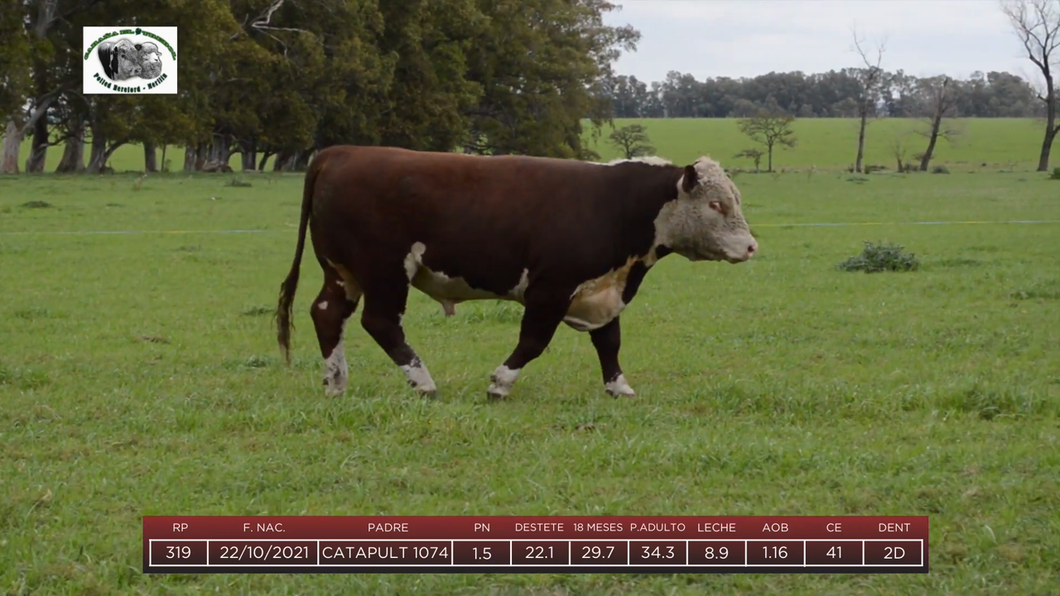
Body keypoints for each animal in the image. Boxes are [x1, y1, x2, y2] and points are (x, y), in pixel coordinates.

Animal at [273, 146, 754, 398]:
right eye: (716, 204)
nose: (751, 246)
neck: (618, 205)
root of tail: (345, 151)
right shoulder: (550, 288)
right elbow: (534, 341)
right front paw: (500, 383)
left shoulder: (602, 290)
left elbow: (609, 342)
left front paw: (620, 388)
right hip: (384, 270)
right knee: (380, 322)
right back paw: (423, 382)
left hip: (344, 271)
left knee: (327, 314)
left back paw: (336, 382)